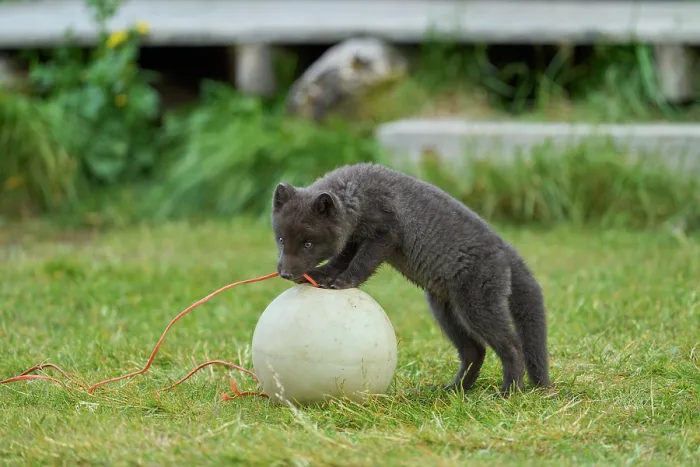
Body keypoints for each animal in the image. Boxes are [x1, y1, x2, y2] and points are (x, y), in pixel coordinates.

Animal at [270, 162, 552, 396]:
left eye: (308, 244)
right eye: (281, 239)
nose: (285, 273)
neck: (359, 193)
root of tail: (505, 249)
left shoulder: (385, 234)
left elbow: (360, 263)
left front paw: (343, 282)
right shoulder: (353, 239)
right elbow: (338, 260)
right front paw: (320, 275)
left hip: (478, 307)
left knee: (513, 346)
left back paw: (509, 391)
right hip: (445, 312)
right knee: (475, 351)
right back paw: (455, 390)